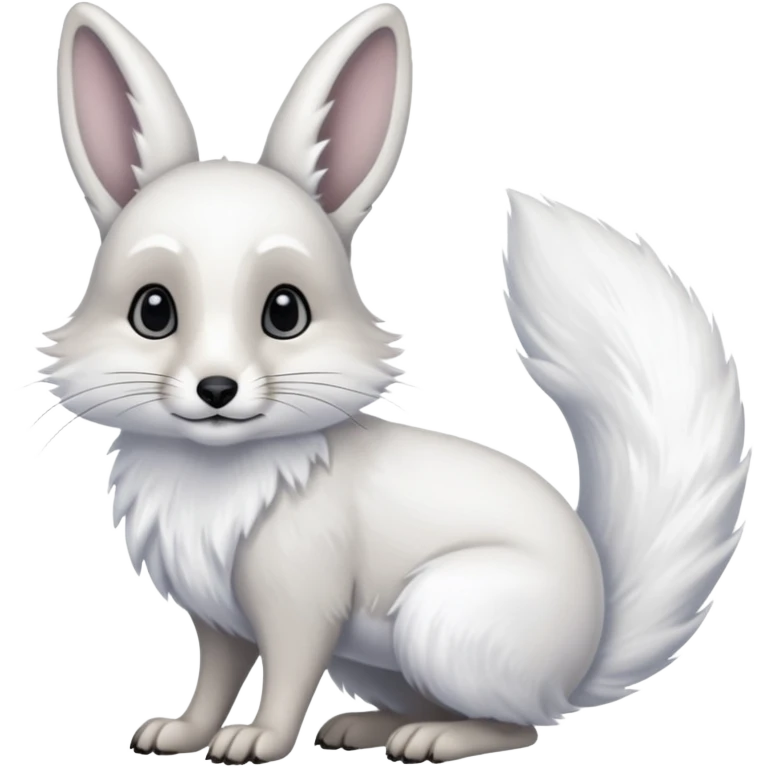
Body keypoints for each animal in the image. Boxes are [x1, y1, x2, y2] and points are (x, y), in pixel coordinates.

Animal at [43, 1, 751, 764]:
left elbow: (287, 673)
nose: (217, 389)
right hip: (376, 659)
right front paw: (181, 732)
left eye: (285, 312)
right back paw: (366, 727)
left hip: (438, 618)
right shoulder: (220, 617)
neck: (215, 474)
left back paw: (433, 738)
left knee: (520, 725)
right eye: (153, 311)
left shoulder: (302, 603)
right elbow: (216, 677)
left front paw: (258, 741)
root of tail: (580, 664)